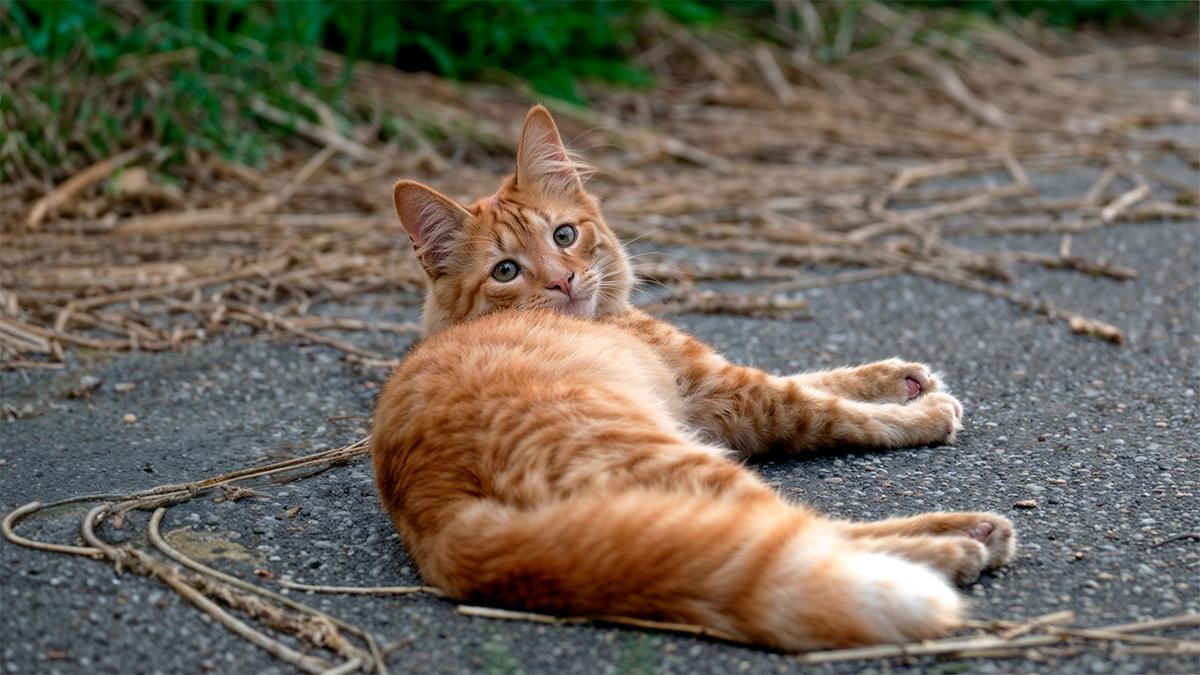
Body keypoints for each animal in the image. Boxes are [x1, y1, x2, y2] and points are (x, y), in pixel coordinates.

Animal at [372, 103, 1012, 648]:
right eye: (506, 271)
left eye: (564, 235)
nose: (564, 280)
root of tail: (446, 519)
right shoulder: (735, 394)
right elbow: (833, 408)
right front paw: (924, 412)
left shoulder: (713, 394)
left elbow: (821, 377)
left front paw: (901, 378)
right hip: (684, 465)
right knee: (807, 536)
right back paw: (962, 542)